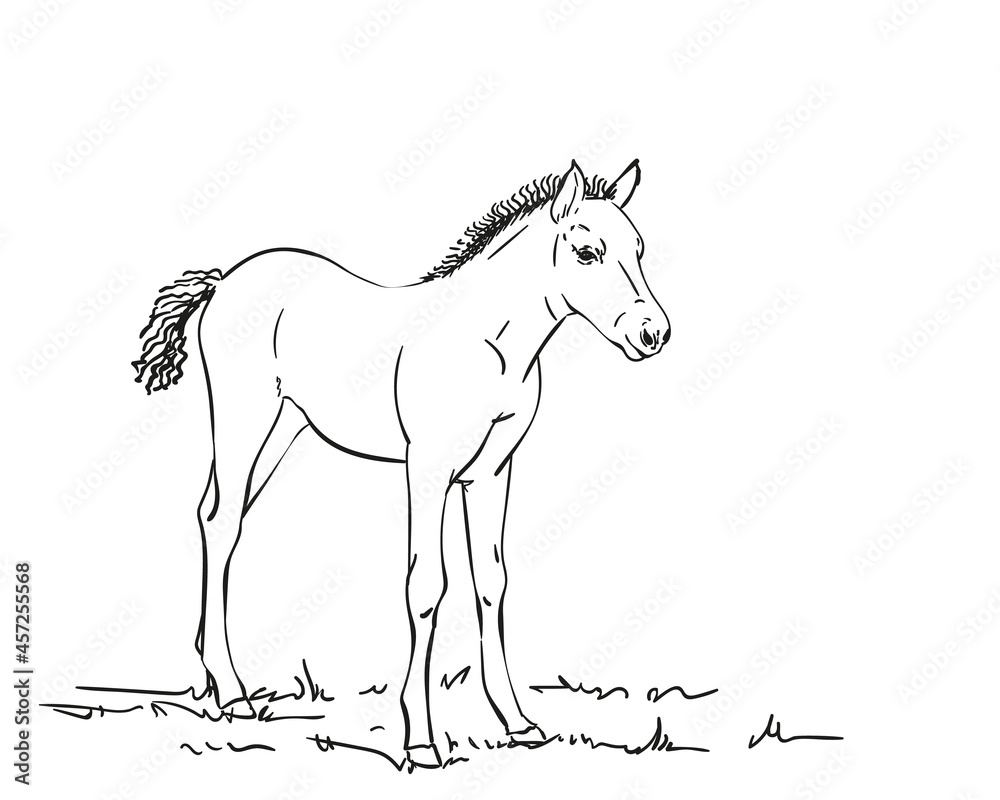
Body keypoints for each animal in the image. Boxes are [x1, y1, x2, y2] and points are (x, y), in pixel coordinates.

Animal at [132, 159, 669, 768]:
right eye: (586, 252)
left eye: (639, 249)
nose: (653, 334)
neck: (491, 344)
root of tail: (223, 281)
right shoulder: (428, 471)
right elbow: (427, 586)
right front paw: (422, 739)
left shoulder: (491, 474)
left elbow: (491, 580)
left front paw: (516, 722)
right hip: (245, 421)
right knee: (221, 520)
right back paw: (231, 692)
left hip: (284, 428)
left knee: (220, 518)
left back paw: (216, 679)